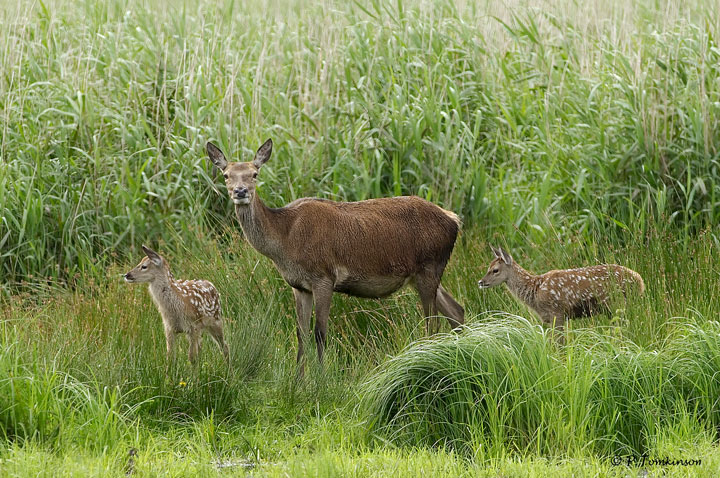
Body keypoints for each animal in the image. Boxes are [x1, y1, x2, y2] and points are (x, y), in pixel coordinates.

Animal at [205, 138, 465, 375]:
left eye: (255, 174)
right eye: (226, 175)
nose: (240, 191)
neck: (286, 240)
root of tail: (454, 220)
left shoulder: (324, 277)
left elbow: (320, 332)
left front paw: (321, 379)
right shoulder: (299, 286)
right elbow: (301, 333)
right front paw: (297, 381)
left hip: (430, 265)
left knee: (433, 322)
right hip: (421, 275)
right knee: (456, 310)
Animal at [477, 246, 644, 329]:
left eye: (495, 270)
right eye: (489, 266)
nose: (480, 282)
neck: (535, 291)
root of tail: (640, 281)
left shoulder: (557, 314)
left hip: (617, 303)